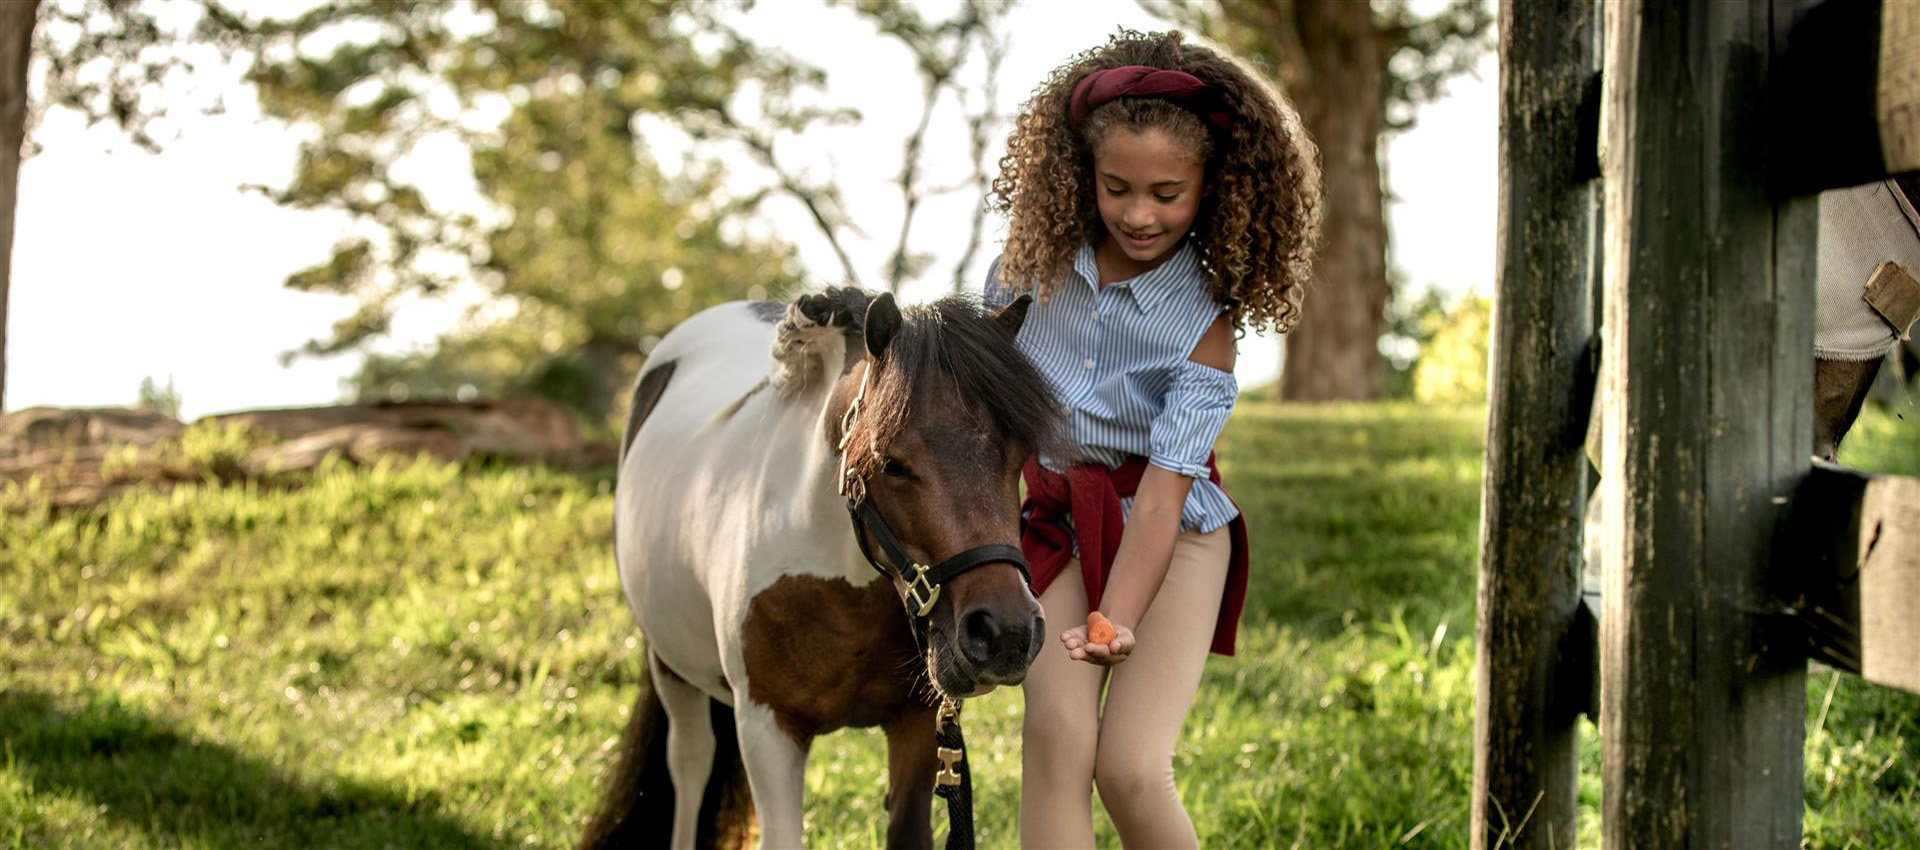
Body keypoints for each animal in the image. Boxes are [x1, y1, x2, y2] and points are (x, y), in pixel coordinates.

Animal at [583, 288, 1070, 849]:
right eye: (891, 464)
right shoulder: (768, 728)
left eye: (1019, 456)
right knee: (690, 762)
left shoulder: (916, 724)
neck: (841, 587)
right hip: (670, 666)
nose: (1006, 633)